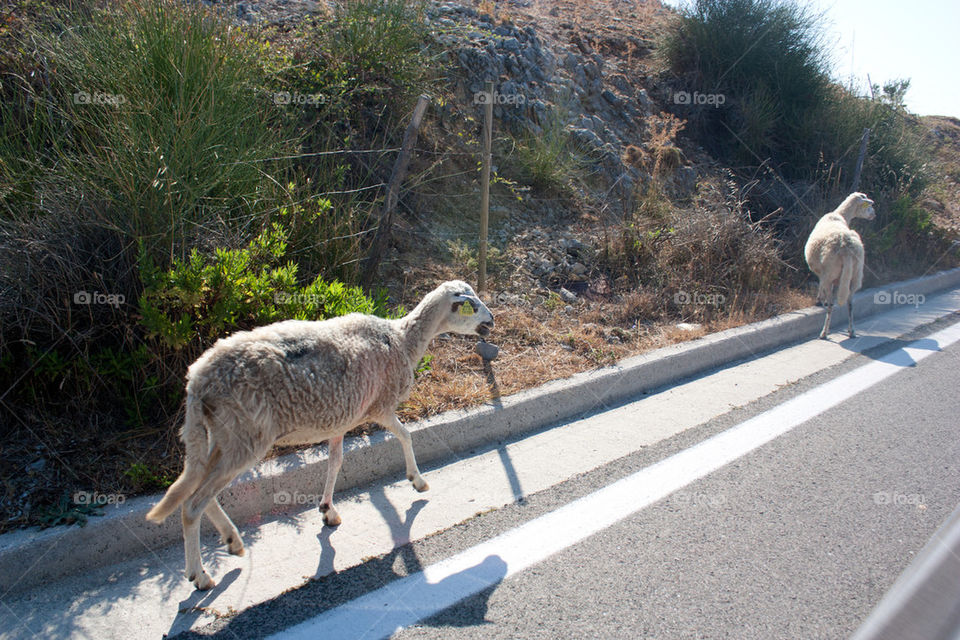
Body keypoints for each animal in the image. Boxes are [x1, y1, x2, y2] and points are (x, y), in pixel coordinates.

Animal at [146, 280, 498, 592]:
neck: (401, 338)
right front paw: (417, 480)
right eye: (472, 304)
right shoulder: (380, 406)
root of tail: (197, 380)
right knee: (193, 504)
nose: (491, 321)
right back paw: (200, 576)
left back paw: (232, 541)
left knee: (200, 493)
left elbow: (336, 461)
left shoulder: (340, 419)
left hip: (222, 437)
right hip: (245, 435)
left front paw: (328, 509)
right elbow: (406, 435)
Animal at [804, 191, 876, 338]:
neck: (839, 215)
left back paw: (824, 332)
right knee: (850, 302)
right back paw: (851, 331)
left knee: (832, 304)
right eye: (868, 206)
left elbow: (820, 285)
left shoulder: (823, 273)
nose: (874, 214)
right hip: (855, 274)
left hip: (830, 272)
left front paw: (819, 300)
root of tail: (846, 248)